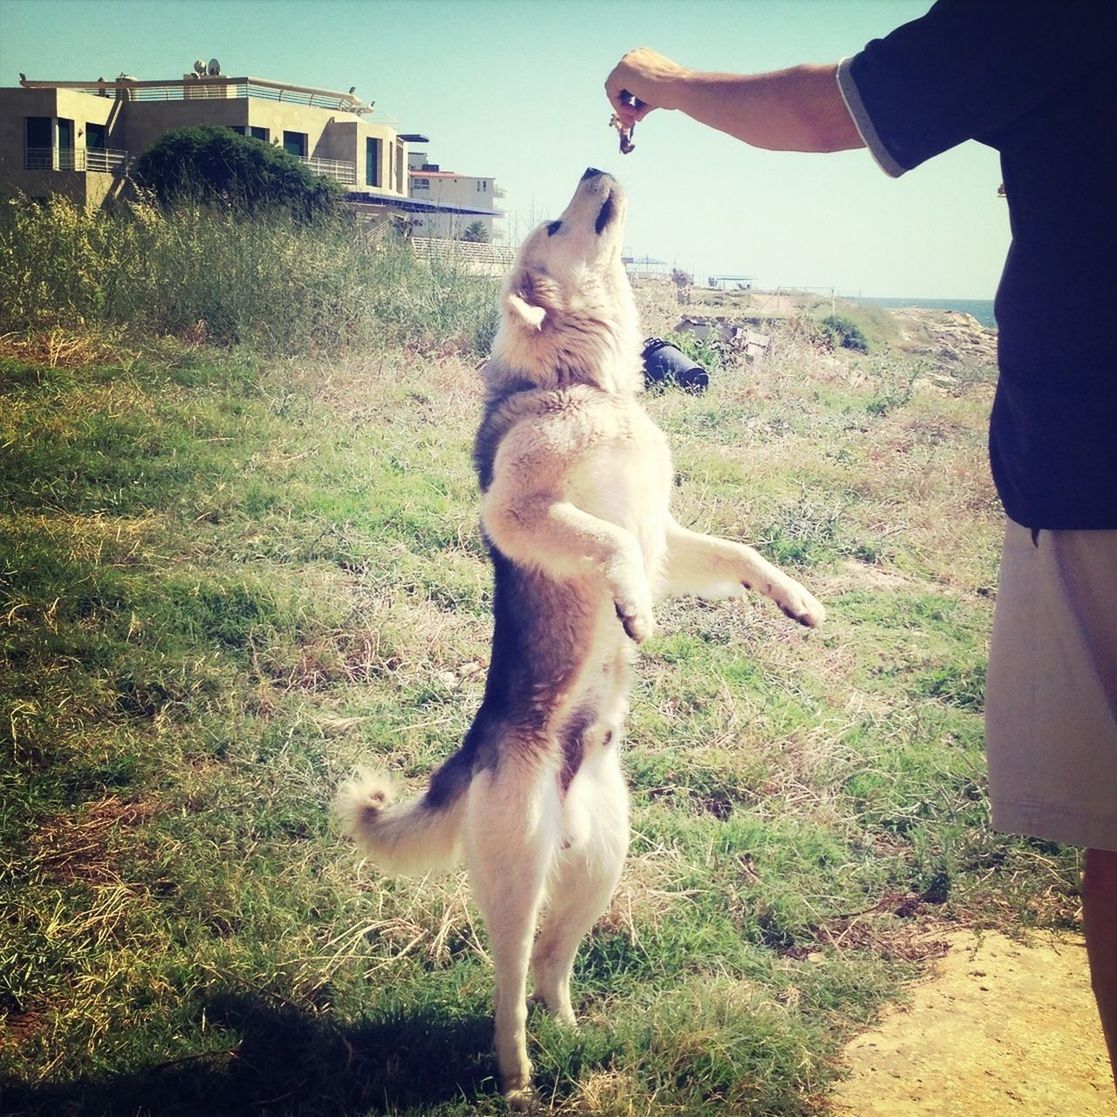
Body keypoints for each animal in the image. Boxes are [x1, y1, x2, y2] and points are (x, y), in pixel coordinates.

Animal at [335, 167, 826, 1108]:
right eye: (559, 225)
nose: (599, 167)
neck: (590, 386)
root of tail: (484, 755)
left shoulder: (670, 533)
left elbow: (737, 554)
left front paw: (796, 601)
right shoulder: (521, 513)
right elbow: (609, 543)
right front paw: (631, 608)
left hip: (601, 867)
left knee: (553, 968)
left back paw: (570, 1030)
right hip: (516, 879)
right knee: (507, 987)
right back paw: (518, 1073)